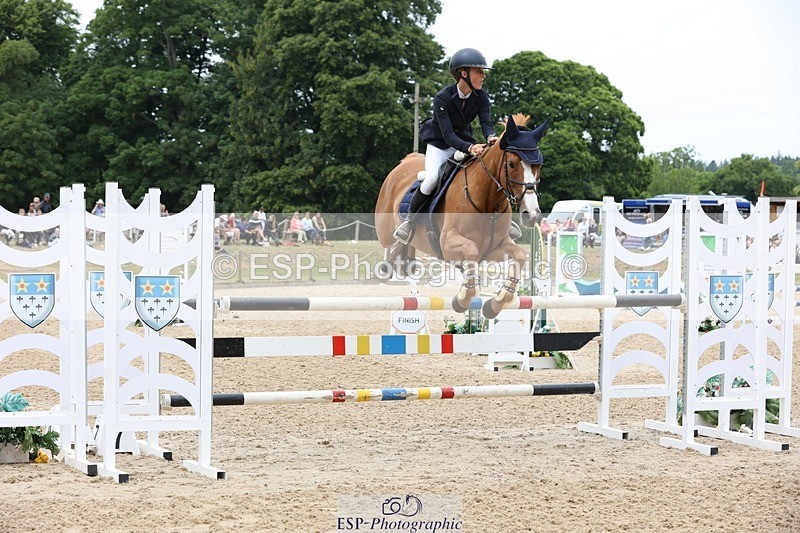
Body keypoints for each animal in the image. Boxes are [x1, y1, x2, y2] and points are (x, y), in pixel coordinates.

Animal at [375, 114, 547, 319]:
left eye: (539, 166)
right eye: (511, 164)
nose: (532, 214)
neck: (485, 202)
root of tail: (407, 161)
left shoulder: (493, 247)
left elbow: (519, 255)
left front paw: (496, 303)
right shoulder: (448, 243)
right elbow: (471, 252)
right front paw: (463, 299)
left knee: (406, 245)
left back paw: (405, 260)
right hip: (384, 228)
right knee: (390, 242)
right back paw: (392, 258)